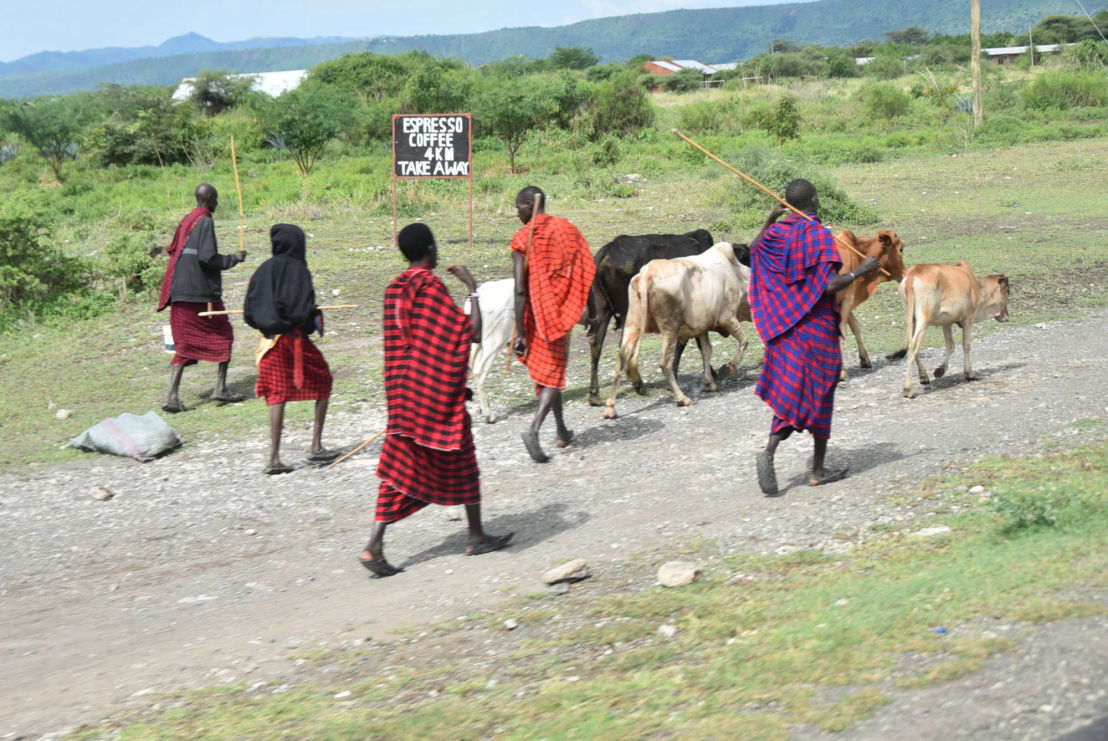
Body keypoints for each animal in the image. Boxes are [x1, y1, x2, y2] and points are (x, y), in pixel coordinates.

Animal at [585, 229, 749, 405]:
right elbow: (687, 346)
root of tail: (606, 250)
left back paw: (595, 395)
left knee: (596, 343)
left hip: (604, 310)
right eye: (747, 257)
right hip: (627, 312)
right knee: (623, 346)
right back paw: (639, 384)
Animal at [833, 227, 904, 378]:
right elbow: (843, 331)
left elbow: (855, 327)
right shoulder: (848, 299)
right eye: (901, 249)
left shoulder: (844, 300)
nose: (905, 274)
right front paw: (841, 371)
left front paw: (864, 359)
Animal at [899, 261, 1014, 398]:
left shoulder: (947, 322)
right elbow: (966, 345)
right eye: (1008, 291)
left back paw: (924, 377)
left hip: (911, 317)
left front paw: (940, 370)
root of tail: (914, 272)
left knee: (912, 344)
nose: (1007, 316)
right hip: (924, 319)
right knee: (913, 345)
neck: (977, 285)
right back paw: (908, 389)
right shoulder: (968, 318)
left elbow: (950, 346)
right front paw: (969, 373)